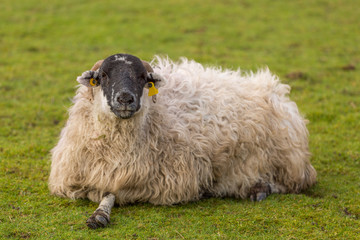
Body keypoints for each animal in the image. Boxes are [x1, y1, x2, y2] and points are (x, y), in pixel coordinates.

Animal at [49, 53, 316, 228]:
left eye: (143, 77)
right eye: (103, 75)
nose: (125, 99)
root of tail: (274, 89)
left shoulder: (163, 183)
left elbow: (112, 192)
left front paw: (101, 212)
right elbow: (102, 191)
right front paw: (99, 214)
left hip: (286, 161)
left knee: (289, 183)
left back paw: (258, 189)